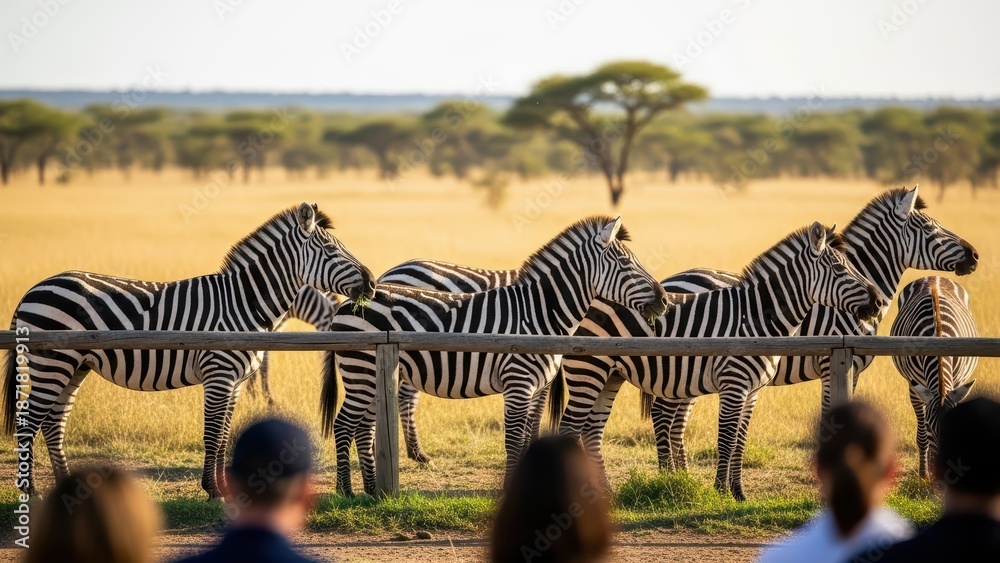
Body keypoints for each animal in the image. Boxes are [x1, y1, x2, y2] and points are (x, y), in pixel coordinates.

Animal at [1, 203, 376, 498]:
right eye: (331, 251)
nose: (372, 283)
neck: (244, 303)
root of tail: (33, 289)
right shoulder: (219, 373)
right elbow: (212, 434)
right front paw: (212, 491)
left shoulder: (235, 381)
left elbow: (223, 436)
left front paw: (222, 488)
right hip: (52, 363)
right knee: (28, 422)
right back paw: (30, 492)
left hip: (74, 365)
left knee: (54, 423)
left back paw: (63, 484)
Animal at [321, 216, 669, 496]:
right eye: (626, 264)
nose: (665, 299)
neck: (540, 313)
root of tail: (350, 301)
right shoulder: (519, 382)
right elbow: (514, 439)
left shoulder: (538, 385)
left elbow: (529, 432)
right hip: (361, 373)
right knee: (344, 425)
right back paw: (346, 492)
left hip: (371, 377)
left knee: (364, 428)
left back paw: (371, 491)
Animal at [558, 222, 883, 501]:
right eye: (840, 269)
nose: (878, 302)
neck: (758, 318)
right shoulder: (734, 383)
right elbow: (726, 438)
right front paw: (720, 491)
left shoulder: (752, 390)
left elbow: (740, 439)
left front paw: (738, 493)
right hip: (588, 371)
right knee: (575, 427)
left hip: (610, 375)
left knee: (592, 431)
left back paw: (604, 493)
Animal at [891, 276, 978, 478]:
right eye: (931, 428)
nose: (944, 472)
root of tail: (932, 277)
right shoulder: (915, 388)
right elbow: (923, 438)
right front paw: (925, 474)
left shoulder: (957, 383)